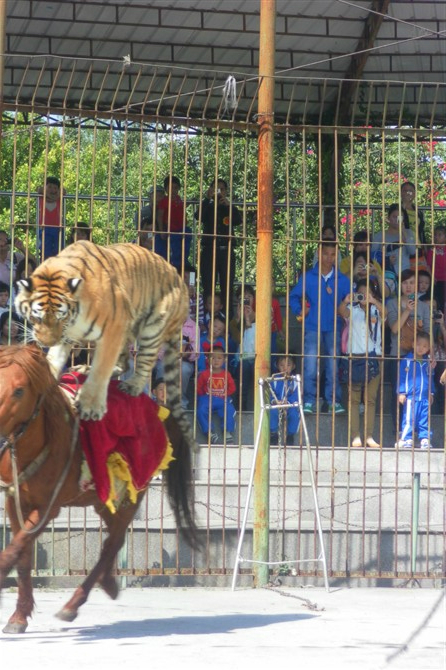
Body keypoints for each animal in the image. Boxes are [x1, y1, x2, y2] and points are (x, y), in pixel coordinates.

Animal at [0, 346, 199, 636]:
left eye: (18, 390)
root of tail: (159, 407)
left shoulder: (48, 506)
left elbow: (15, 549)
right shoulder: (14, 501)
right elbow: (23, 556)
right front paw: (18, 617)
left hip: (131, 496)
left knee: (113, 542)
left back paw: (75, 603)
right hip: (104, 500)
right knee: (112, 541)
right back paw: (108, 582)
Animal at [14, 242, 190, 436]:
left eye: (61, 317)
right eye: (36, 318)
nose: (47, 343)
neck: (74, 320)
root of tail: (181, 283)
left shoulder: (114, 327)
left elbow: (101, 369)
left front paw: (90, 406)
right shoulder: (67, 336)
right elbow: (54, 358)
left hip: (153, 327)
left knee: (145, 362)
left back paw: (132, 385)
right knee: (125, 364)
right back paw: (85, 369)